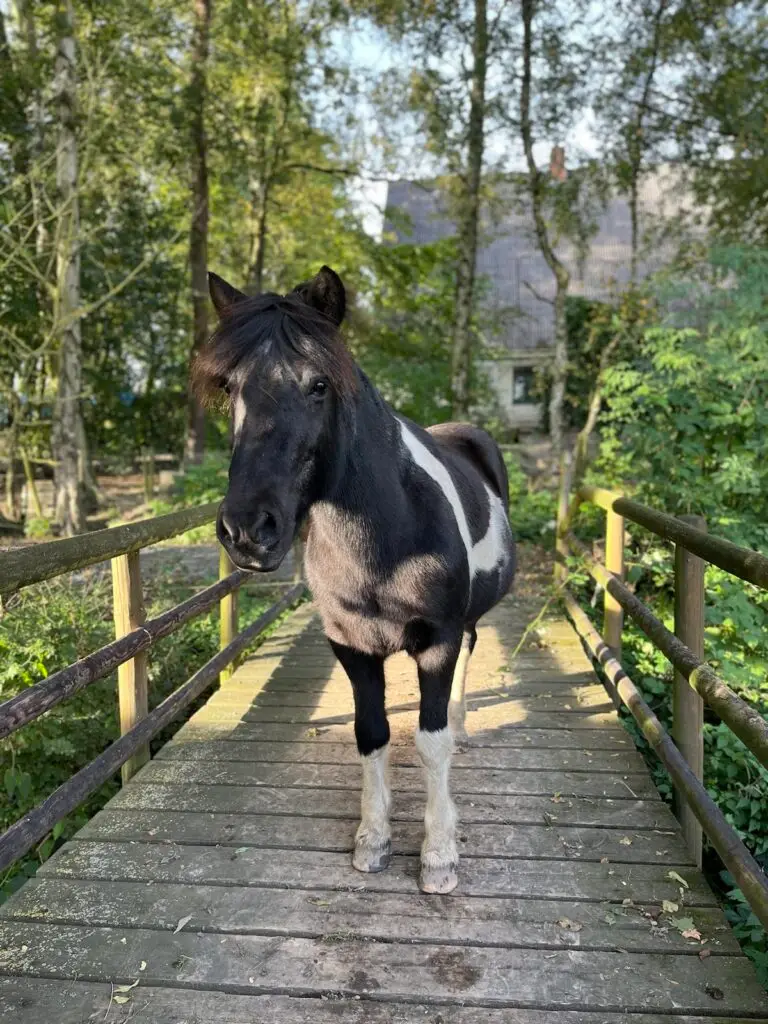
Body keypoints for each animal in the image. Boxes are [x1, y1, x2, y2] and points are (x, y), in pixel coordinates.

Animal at [193, 266, 516, 894]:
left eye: (319, 385)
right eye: (230, 388)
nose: (248, 530)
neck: (388, 537)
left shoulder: (436, 641)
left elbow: (430, 741)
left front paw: (439, 855)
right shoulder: (351, 646)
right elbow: (372, 735)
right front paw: (373, 839)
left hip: (462, 624)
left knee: (467, 656)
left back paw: (463, 725)